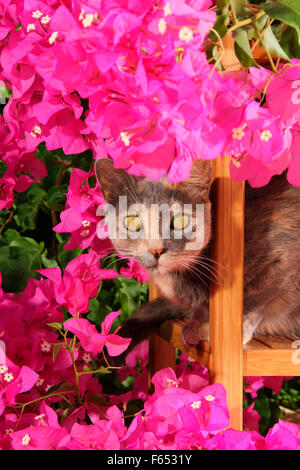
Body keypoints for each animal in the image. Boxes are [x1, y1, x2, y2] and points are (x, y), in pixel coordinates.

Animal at [95, 158, 300, 356]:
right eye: (133, 222)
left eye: (180, 220)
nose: (156, 249)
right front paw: (194, 325)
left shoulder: (282, 258)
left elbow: (253, 300)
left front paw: (229, 333)